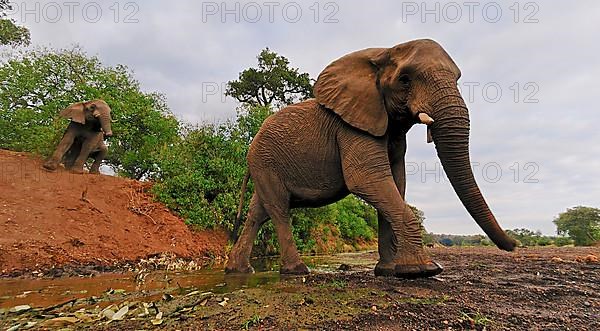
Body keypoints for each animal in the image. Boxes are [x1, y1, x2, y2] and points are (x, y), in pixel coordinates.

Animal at [225, 39, 516, 280]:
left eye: (457, 78)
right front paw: (422, 270)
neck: (381, 53)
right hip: (265, 162)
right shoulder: (352, 128)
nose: (513, 245)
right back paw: (296, 271)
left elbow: (396, 183)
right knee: (279, 210)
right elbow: (367, 179)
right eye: (405, 80)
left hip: (264, 165)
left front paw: (388, 271)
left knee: (259, 213)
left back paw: (238, 270)